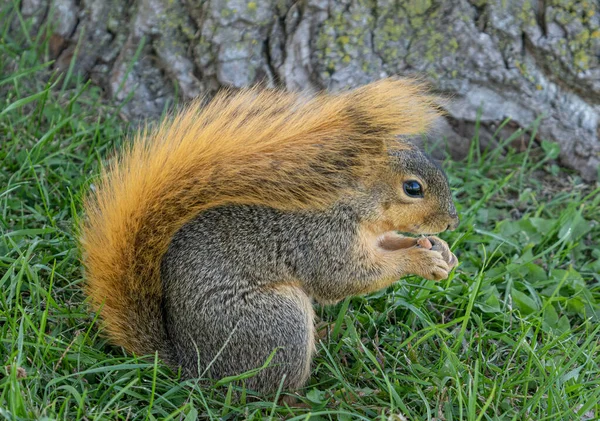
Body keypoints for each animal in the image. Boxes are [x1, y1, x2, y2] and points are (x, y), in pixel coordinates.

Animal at [81, 78, 460, 394]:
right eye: (413, 188)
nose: (451, 222)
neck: (349, 204)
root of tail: (194, 367)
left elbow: (389, 243)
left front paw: (441, 251)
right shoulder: (321, 240)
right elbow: (345, 279)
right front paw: (419, 259)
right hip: (277, 322)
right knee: (270, 392)